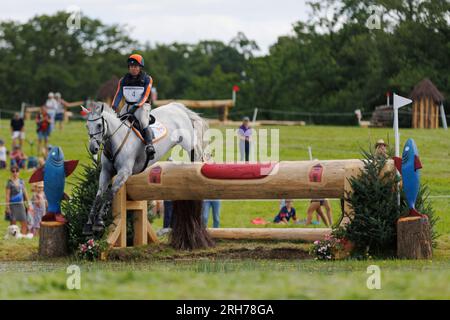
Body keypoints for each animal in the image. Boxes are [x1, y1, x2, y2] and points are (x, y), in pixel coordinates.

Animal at [82, 102, 207, 235]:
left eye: (99, 125)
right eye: (87, 126)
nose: (93, 148)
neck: (115, 141)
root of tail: (176, 107)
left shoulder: (124, 172)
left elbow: (110, 194)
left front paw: (99, 222)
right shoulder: (106, 172)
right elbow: (99, 195)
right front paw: (89, 224)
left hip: (188, 143)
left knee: (197, 154)